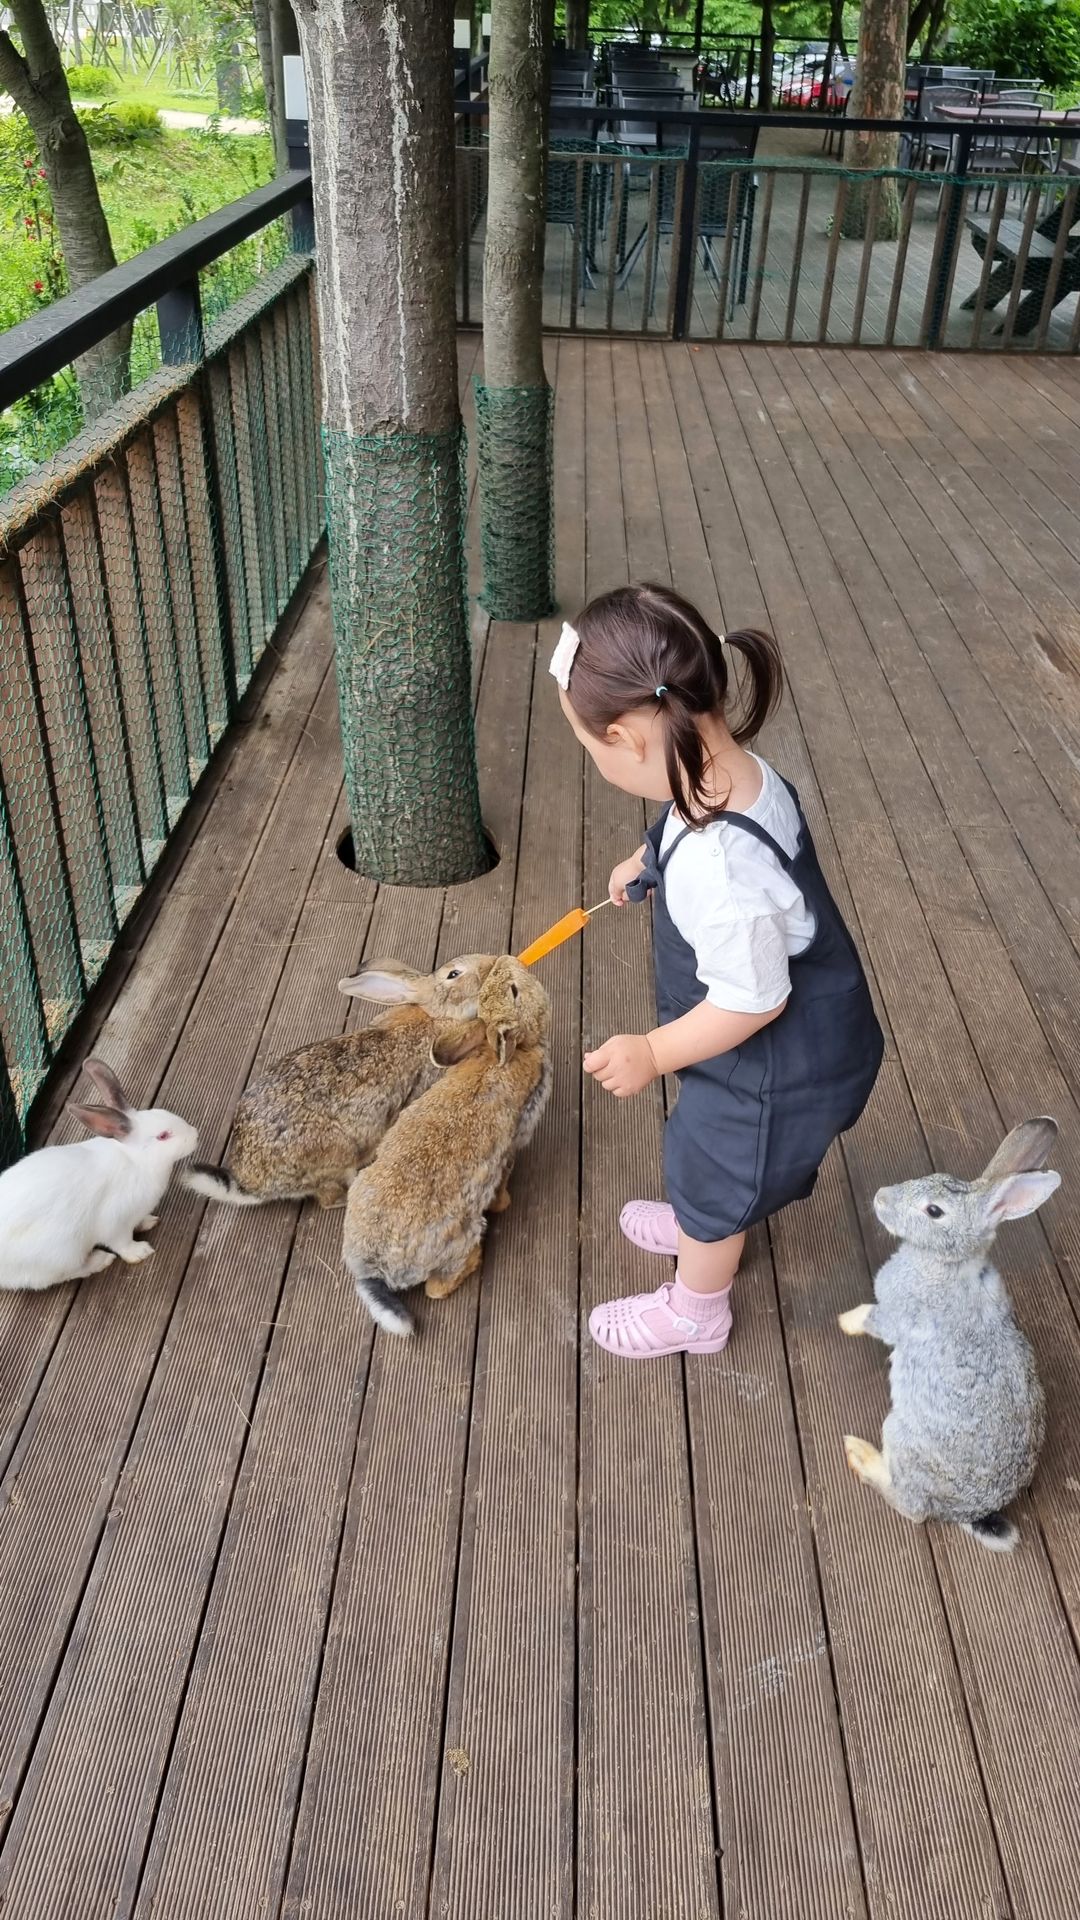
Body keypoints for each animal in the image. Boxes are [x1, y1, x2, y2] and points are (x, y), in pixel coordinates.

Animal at [0, 1059, 197, 1297]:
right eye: (163, 1136)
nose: (196, 1135)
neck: (137, 1161)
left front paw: (148, 1222)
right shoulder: (115, 1224)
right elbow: (122, 1244)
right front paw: (140, 1252)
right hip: (63, 1253)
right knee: (62, 1274)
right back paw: (100, 1260)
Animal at [180, 952, 491, 1205]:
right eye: (454, 974)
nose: (489, 963)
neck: (434, 1014)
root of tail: (251, 1186)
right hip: (336, 1157)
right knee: (329, 1197)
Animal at [342, 956, 549, 1336]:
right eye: (514, 990)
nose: (507, 959)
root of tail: (375, 1269)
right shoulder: (513, 1145)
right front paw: (503, 1203)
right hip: (460, 1237)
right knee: (437, 1288)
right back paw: (475, 1259)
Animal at [837, 1121, 1053, 1551]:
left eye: (934, 1211)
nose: (881, 1197)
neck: (945, 1262)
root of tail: (967, 1514)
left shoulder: (897, 1316)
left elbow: (873, 1318)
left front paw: (843, 1320)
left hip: (900, 1437)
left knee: (912, 1509)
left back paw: (861, 1456)